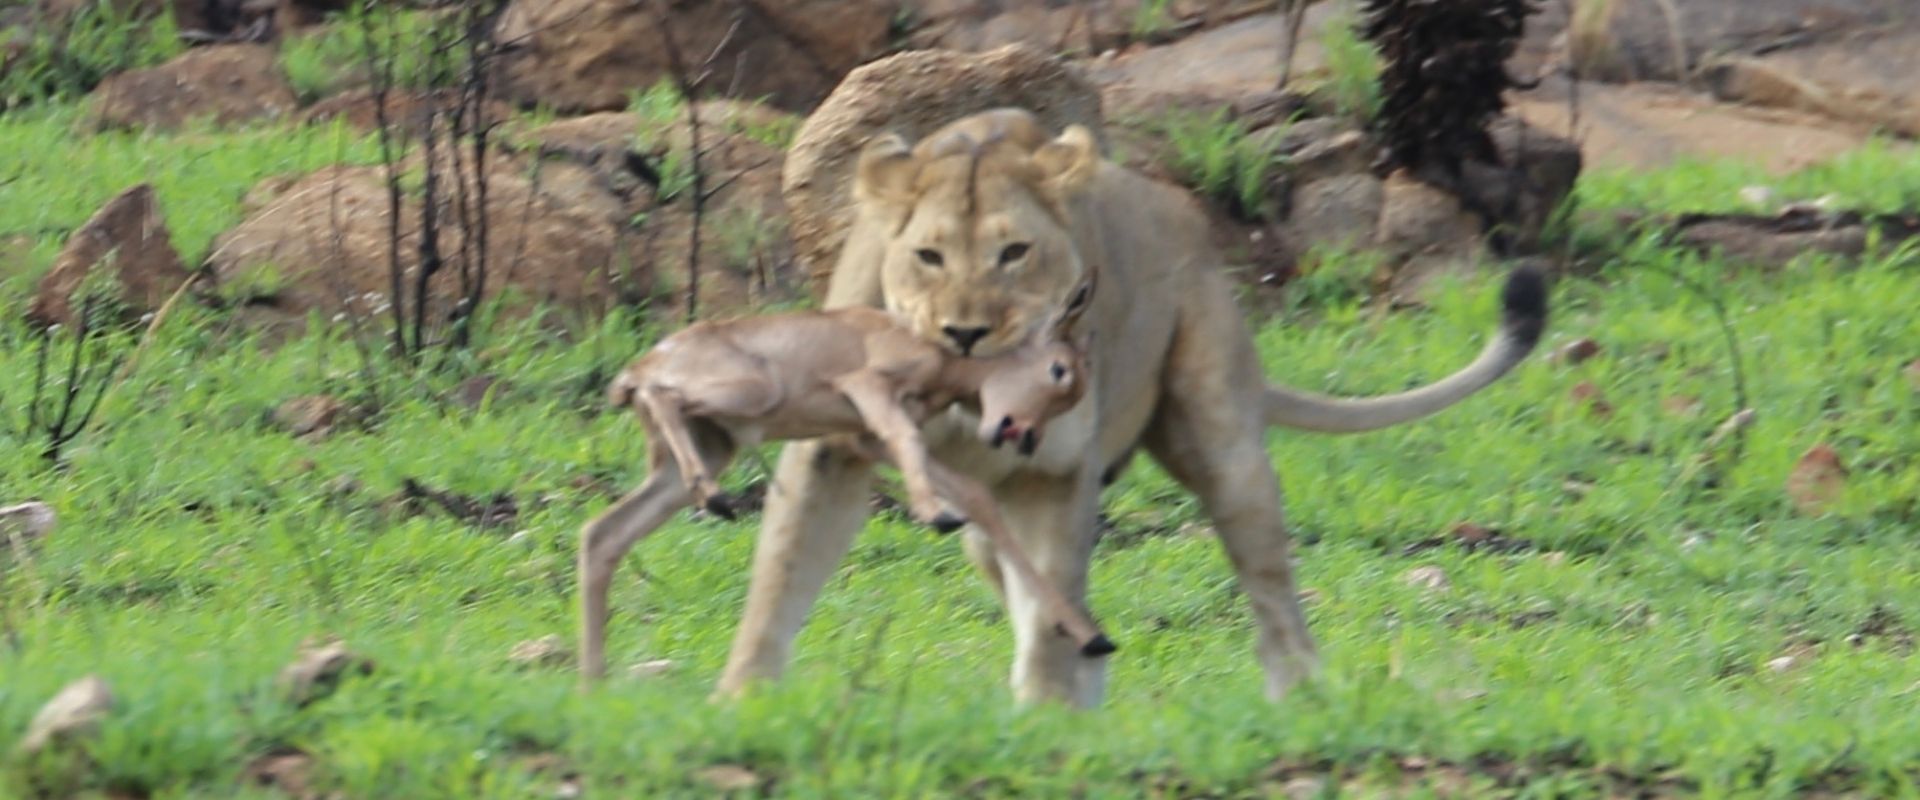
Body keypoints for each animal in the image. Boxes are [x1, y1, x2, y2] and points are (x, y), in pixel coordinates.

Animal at [653, 107, 1546, 707]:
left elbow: (1050, 605)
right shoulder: (831, 452)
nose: (967, 331)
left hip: (1222, 442)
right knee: (1048, 596)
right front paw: (741, 702)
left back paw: (1296, 696)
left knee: (1268, 590)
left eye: (1015, 253)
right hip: (982, 524)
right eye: (928, 255)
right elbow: (778, 581)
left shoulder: (1056, 471)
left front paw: (1045, 720)